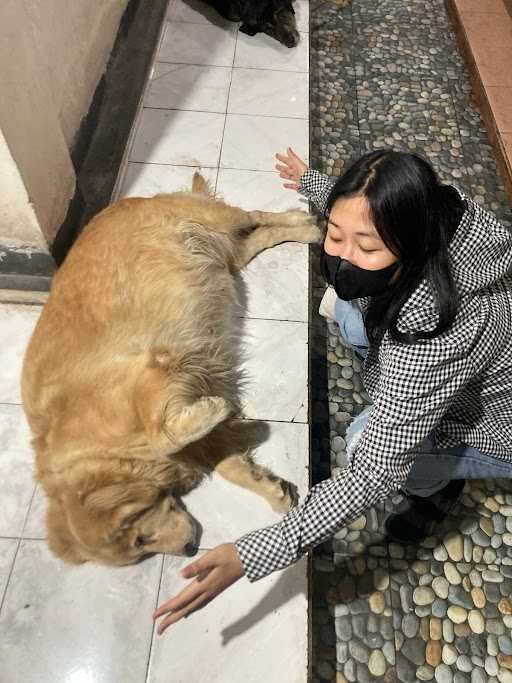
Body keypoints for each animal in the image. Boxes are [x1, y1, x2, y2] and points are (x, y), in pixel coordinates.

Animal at [24, 175, 322, 568]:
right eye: (140, 550)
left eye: (139, 536)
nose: (190, 550)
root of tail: (133, 199)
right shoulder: (195, 430)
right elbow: (227, 464)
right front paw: (271, 489)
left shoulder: (154, 371)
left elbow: (162, 432)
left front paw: (213, 410)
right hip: (228, 254)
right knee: (260, 236)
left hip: (219, 219)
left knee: (258, 215)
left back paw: (307, 224)